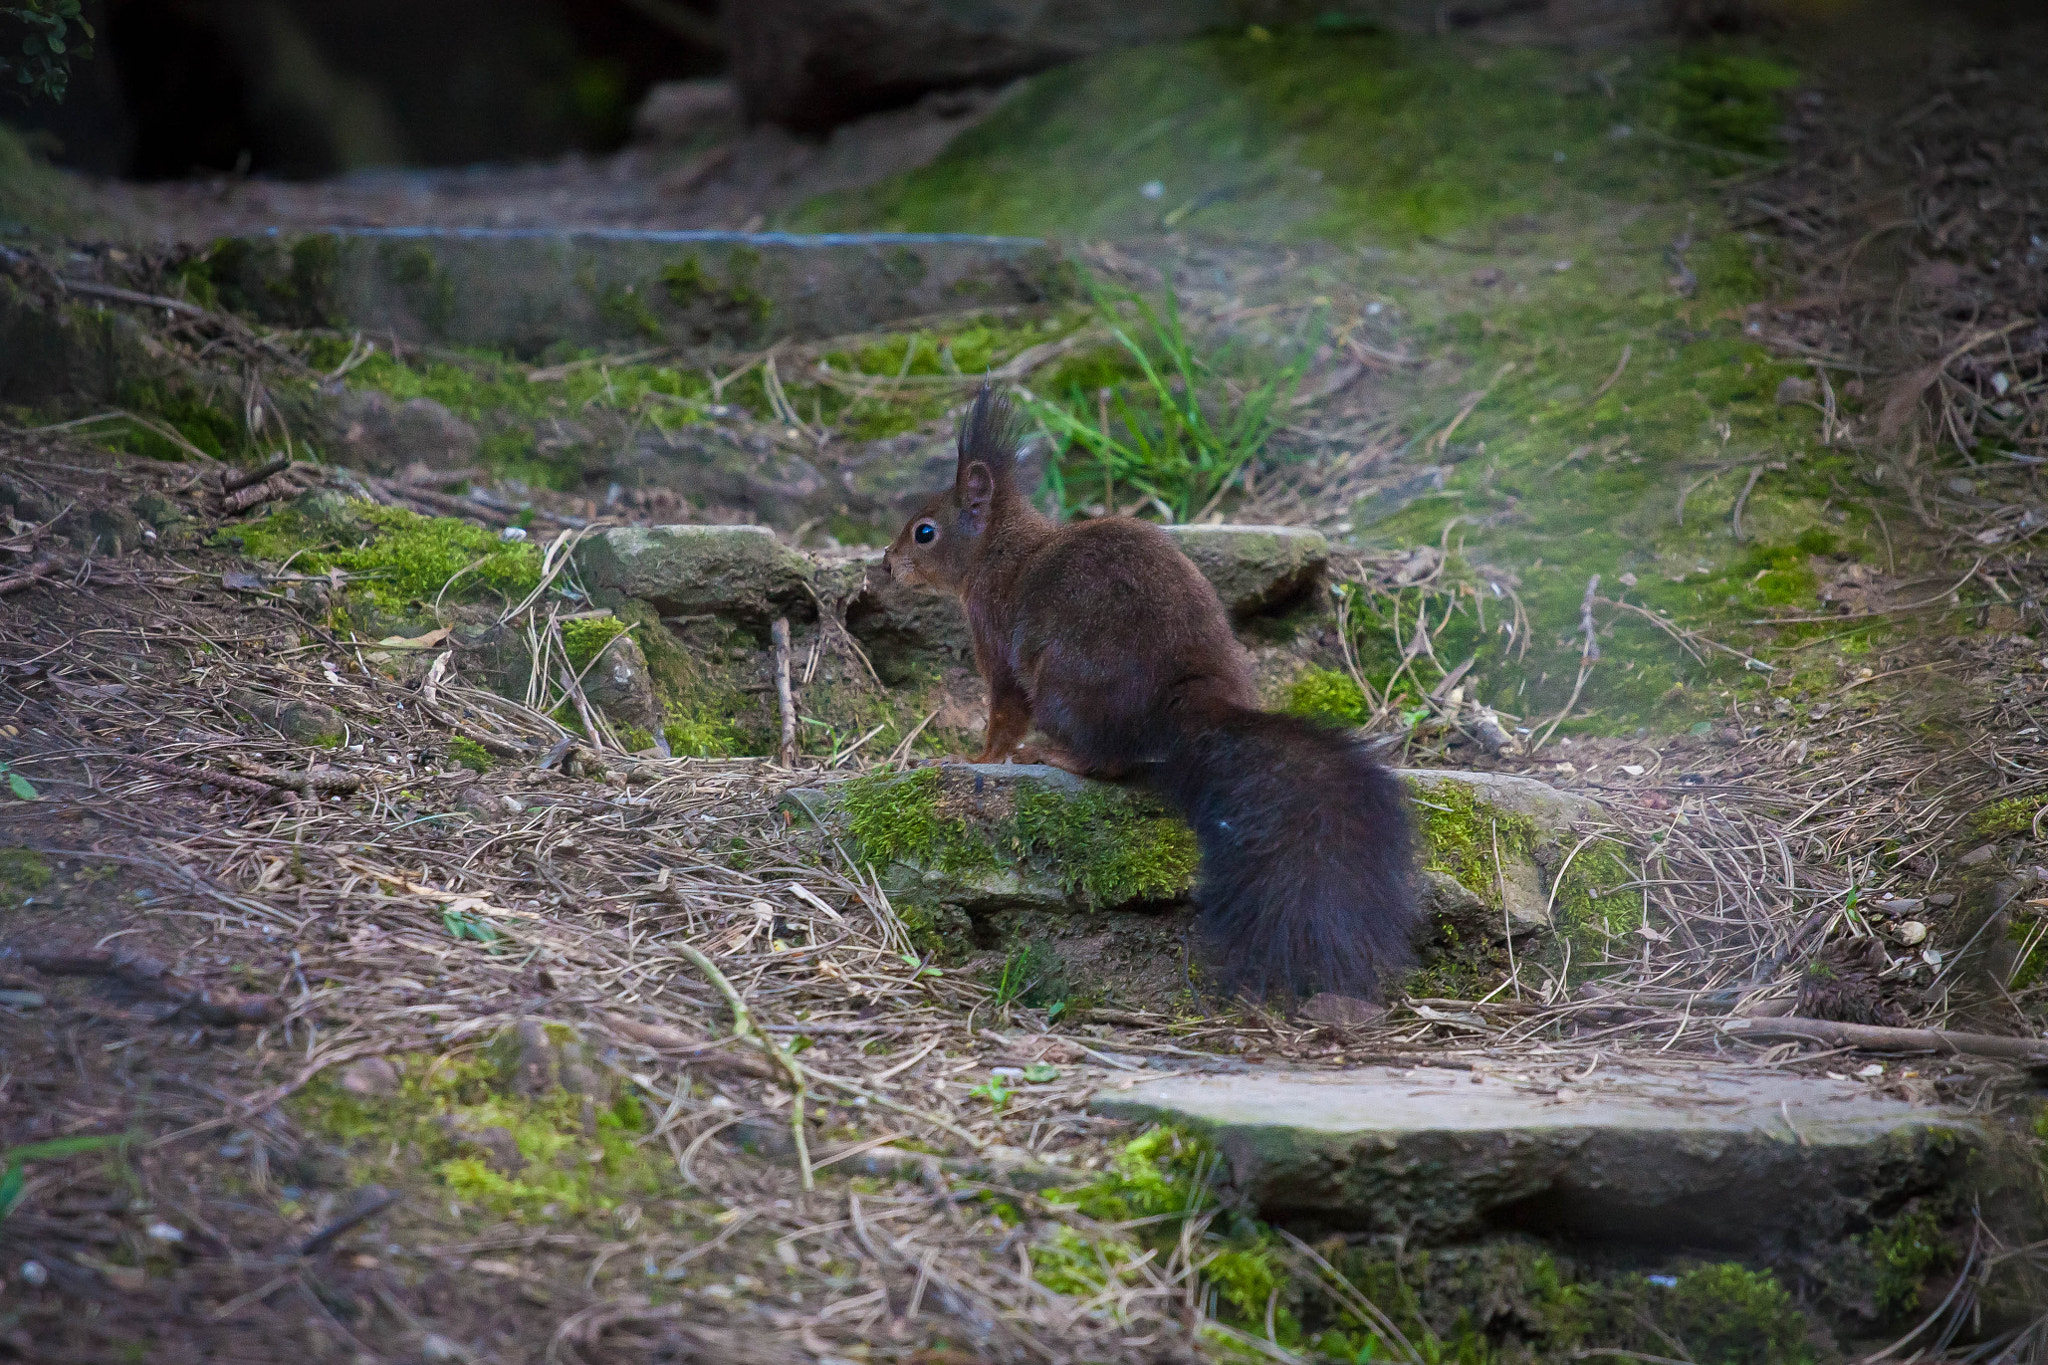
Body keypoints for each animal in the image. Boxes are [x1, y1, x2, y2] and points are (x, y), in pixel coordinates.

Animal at [880, 386, 1425, 1002]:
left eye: (925, 531)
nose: (887, 564)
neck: (1001, 548)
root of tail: (1183, 701)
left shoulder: (996, 641)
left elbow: (1003, 713)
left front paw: (979, 756)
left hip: (1064, 686)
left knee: (1108, 762)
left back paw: (1052, 754)